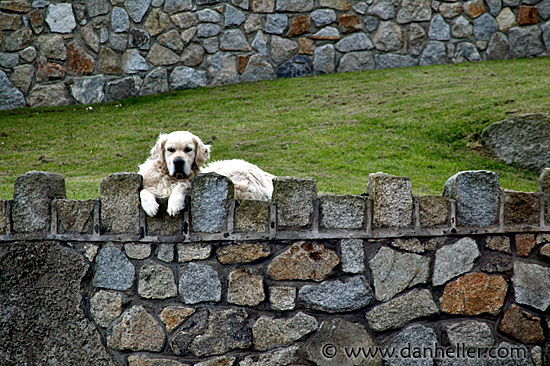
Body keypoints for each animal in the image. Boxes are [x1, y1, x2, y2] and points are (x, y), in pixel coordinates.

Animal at [139, 132, 274, 217]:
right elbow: (143, 190)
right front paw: (150, 206)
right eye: (170, 149)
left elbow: (183, 185)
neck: (170, 177)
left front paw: (174, 204)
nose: (178, 162)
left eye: (188, 149)